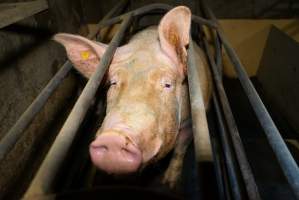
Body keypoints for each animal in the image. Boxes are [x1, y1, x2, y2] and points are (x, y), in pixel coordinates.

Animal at [54, 6, 213, 187]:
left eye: (167, 84)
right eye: (113, 83)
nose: (114, 138)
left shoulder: (190, 122)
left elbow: (180, 149)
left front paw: (169, 183)